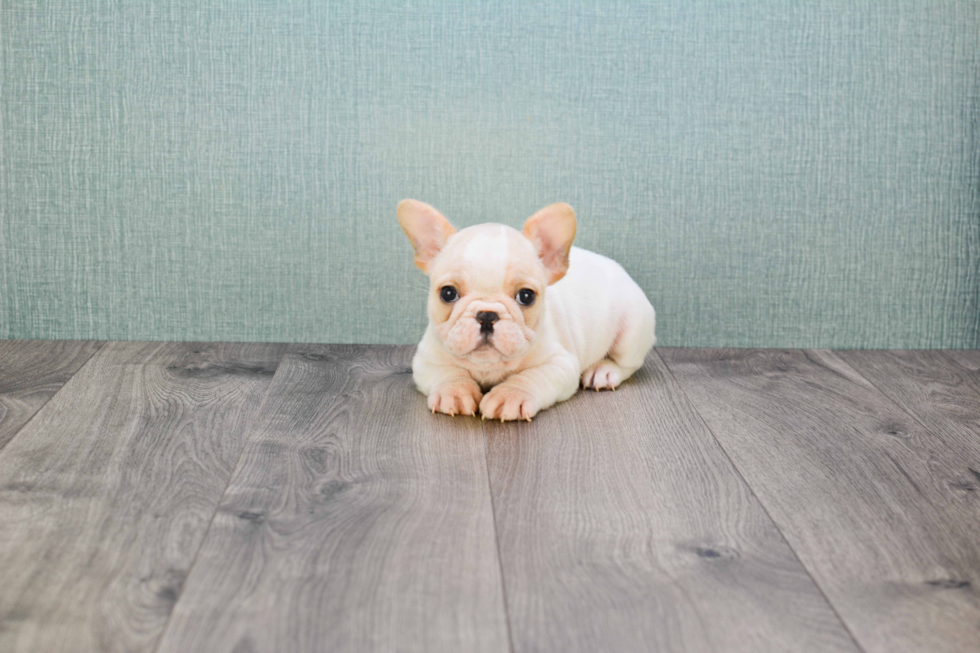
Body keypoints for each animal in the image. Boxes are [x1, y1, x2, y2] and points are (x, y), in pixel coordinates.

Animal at [398, 199, 660, 420]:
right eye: (448, 293)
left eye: (526, 296)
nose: (487, 315)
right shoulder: (426, 360)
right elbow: (448, 373)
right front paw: (453, 391)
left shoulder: (560, 364)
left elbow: (530, 377)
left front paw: (511, 395)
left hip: (632, 331)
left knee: (627, 364)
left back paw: (603, 371)